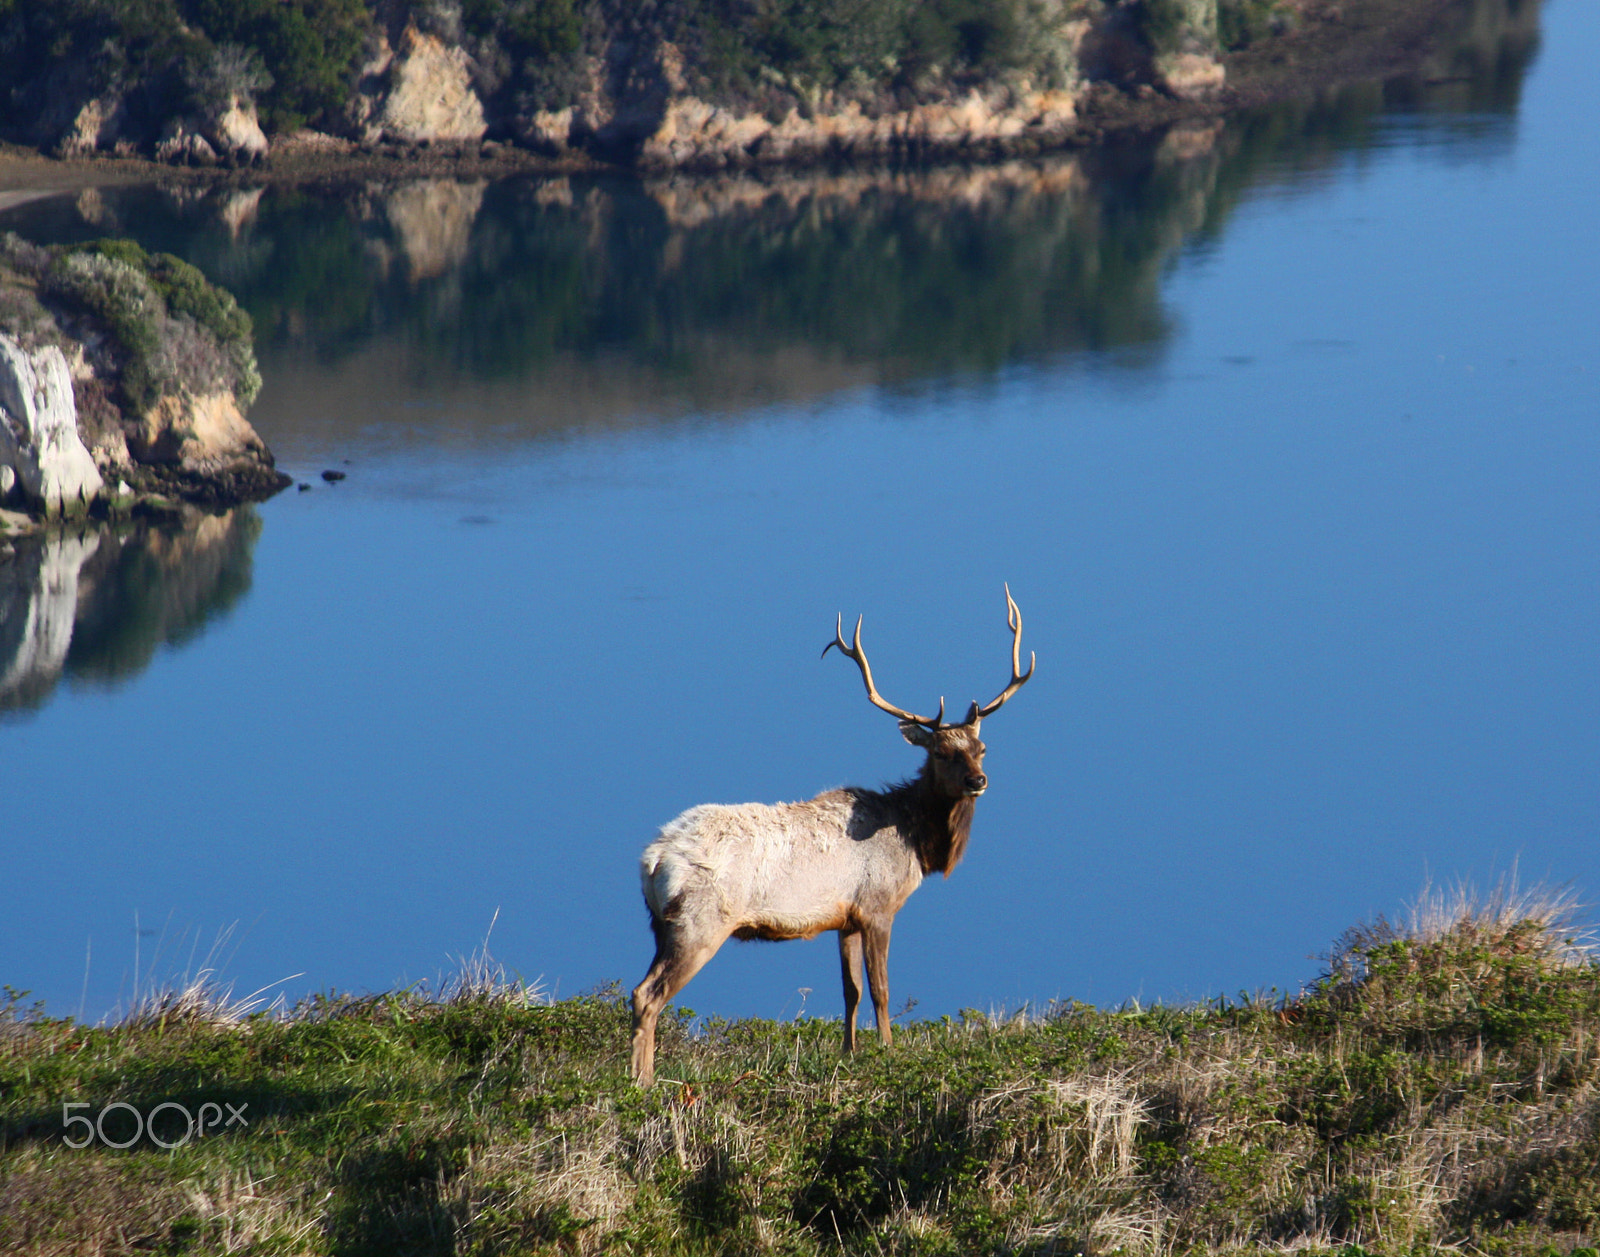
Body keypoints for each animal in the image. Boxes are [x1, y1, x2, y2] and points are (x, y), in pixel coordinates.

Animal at [629, 585, 1034, 1086]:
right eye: (941, 752)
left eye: (981, 748)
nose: (979, 781)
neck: (916, 842)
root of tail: (653, 859)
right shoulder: (878, 905)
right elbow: (880, 988)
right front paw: (887, 1052)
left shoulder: (845, 917)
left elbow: (850, 991)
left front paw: (849, 1052)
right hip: (700, 921)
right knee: (650, 995)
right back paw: (642, 1083)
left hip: (659, 925)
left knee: (638, 992)